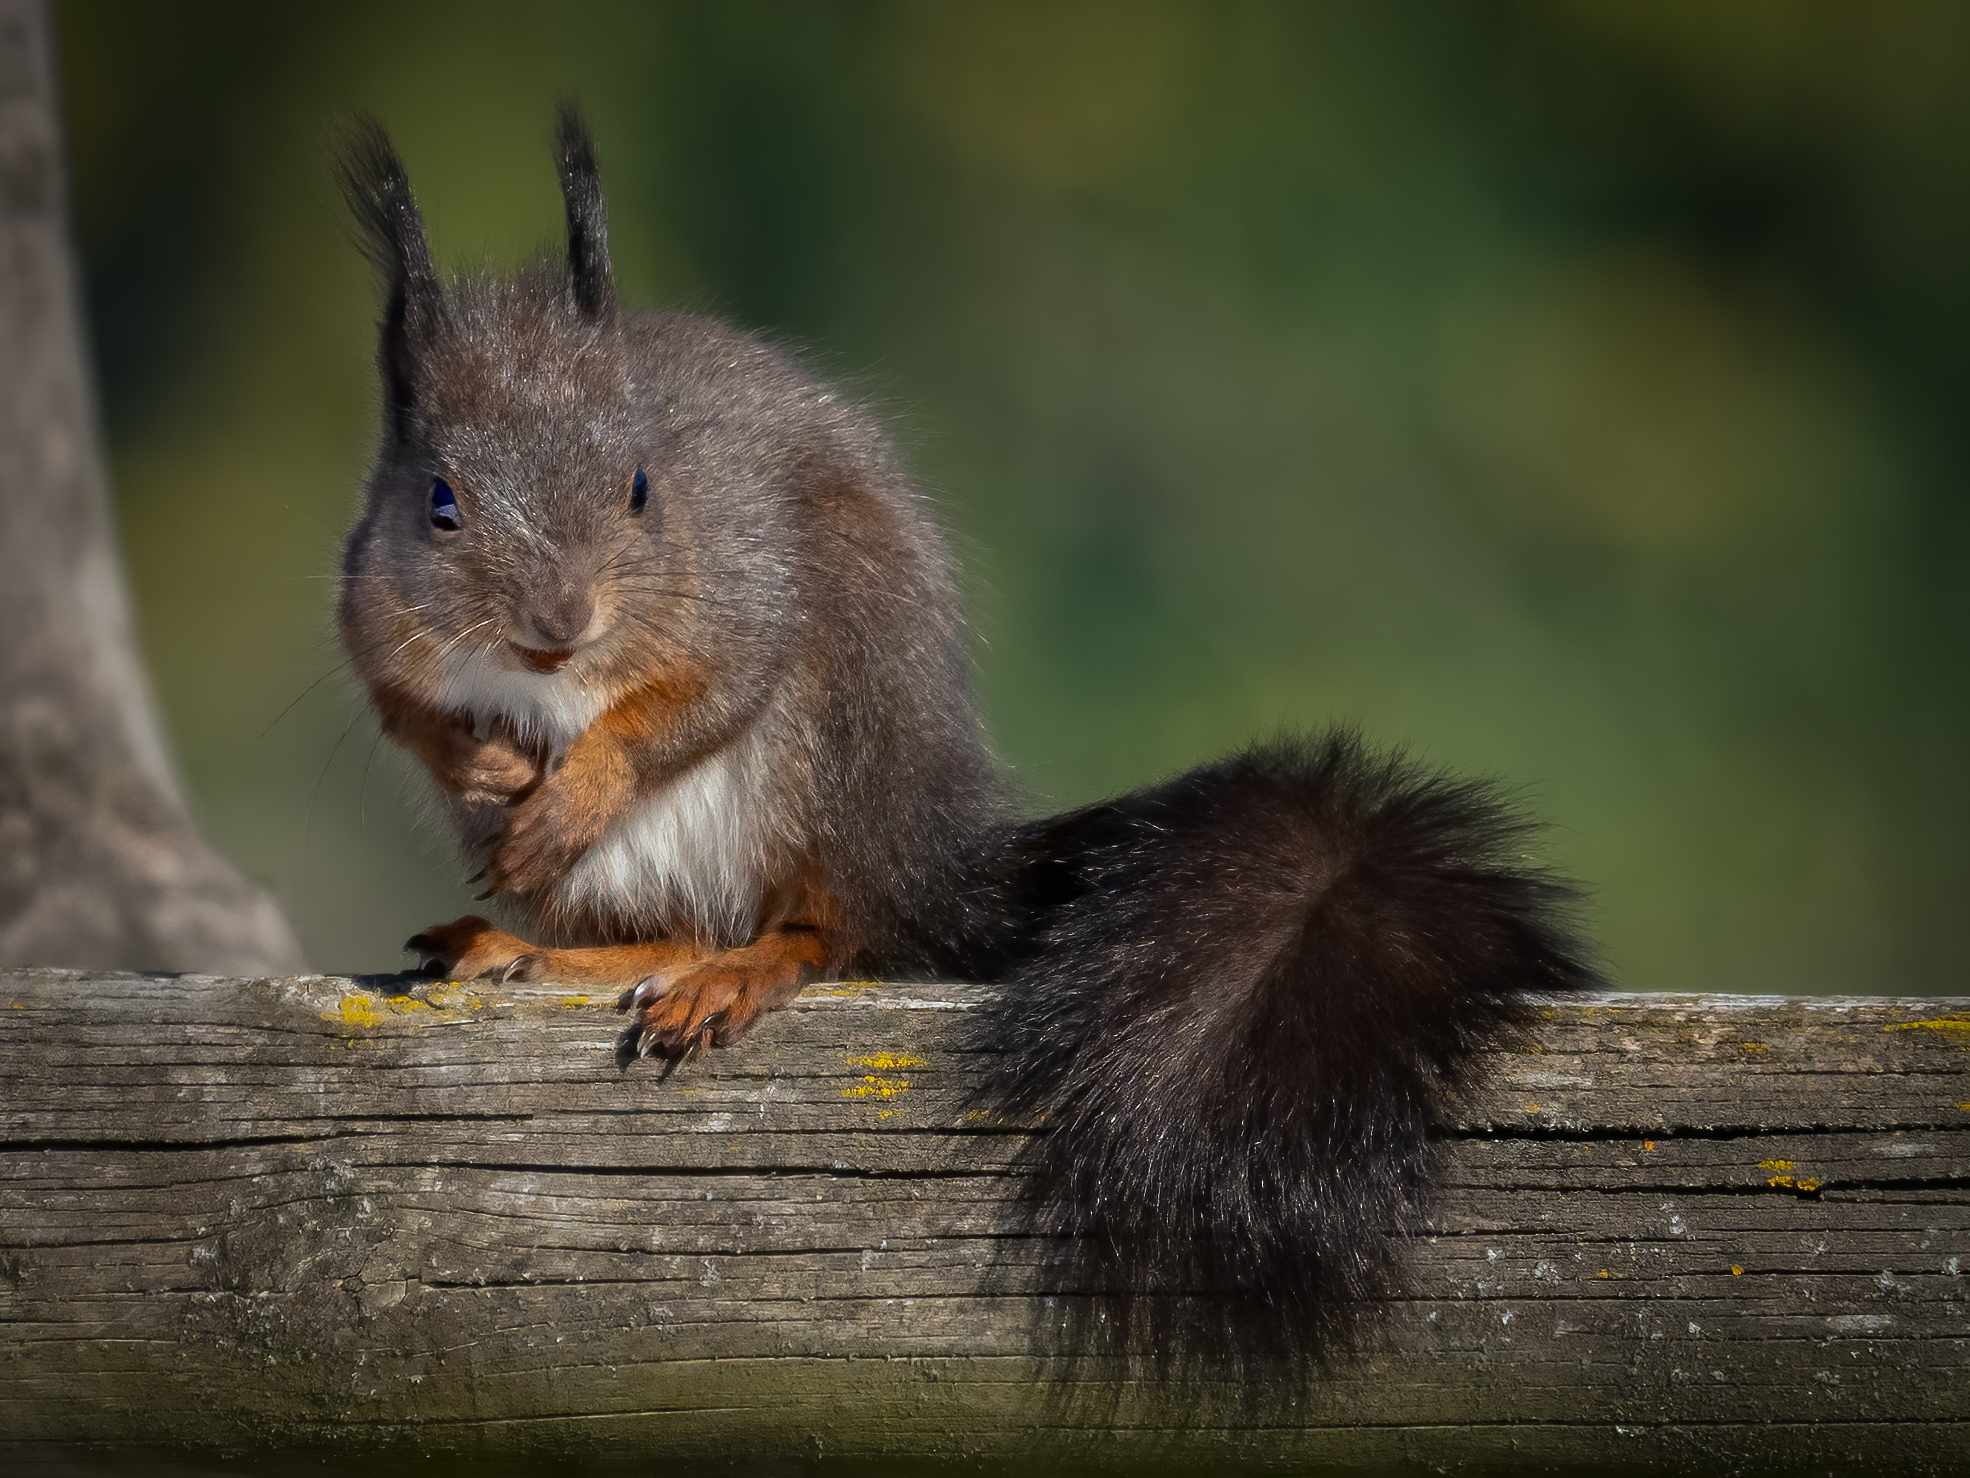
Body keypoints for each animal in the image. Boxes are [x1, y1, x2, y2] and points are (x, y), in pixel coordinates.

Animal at [335, 110, 1601, 1370]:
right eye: (440, 503)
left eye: (641, 486)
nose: (561, 625)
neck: (552, 680)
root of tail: (924, 845)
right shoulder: (372, 614)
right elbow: (401, 704)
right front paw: (484, 763)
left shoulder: (746, 587)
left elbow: (700, 697)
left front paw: (572, 788)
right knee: (676, 925)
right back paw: (531, 947)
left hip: (829, 747)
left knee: (820, 925)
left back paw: (737, 967)